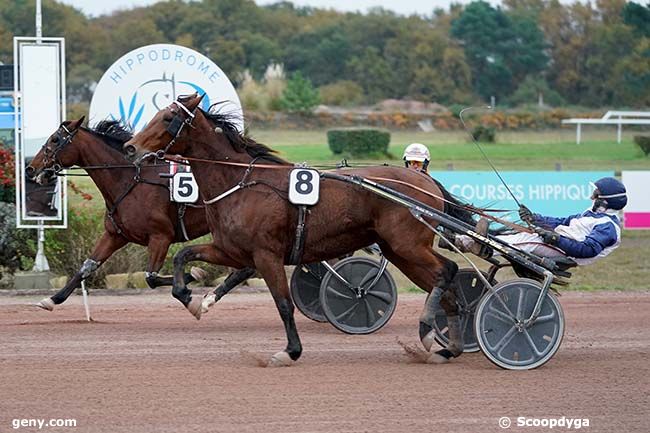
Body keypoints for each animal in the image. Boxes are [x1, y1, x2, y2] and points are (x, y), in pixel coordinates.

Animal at [27, 116, 256, 308]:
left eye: (55, 139)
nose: (30, 168)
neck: (130, 179)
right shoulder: (115, 235)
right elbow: (87, 267)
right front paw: (52, 299)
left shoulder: (160, 236)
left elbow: (151, 277)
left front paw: (192, 276)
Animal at [125, 94, 470, 364]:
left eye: (167, 117)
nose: (130, 147)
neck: (241, 182)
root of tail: (426, 182)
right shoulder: (231, 250)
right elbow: (183, 255)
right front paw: (193, 298)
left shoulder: (266, 255)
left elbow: (283, 303)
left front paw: (290, 351)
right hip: (399, 251)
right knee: (447, 281)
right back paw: (449, 347)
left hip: (407, 246)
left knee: (446, 272)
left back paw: (427, 328)